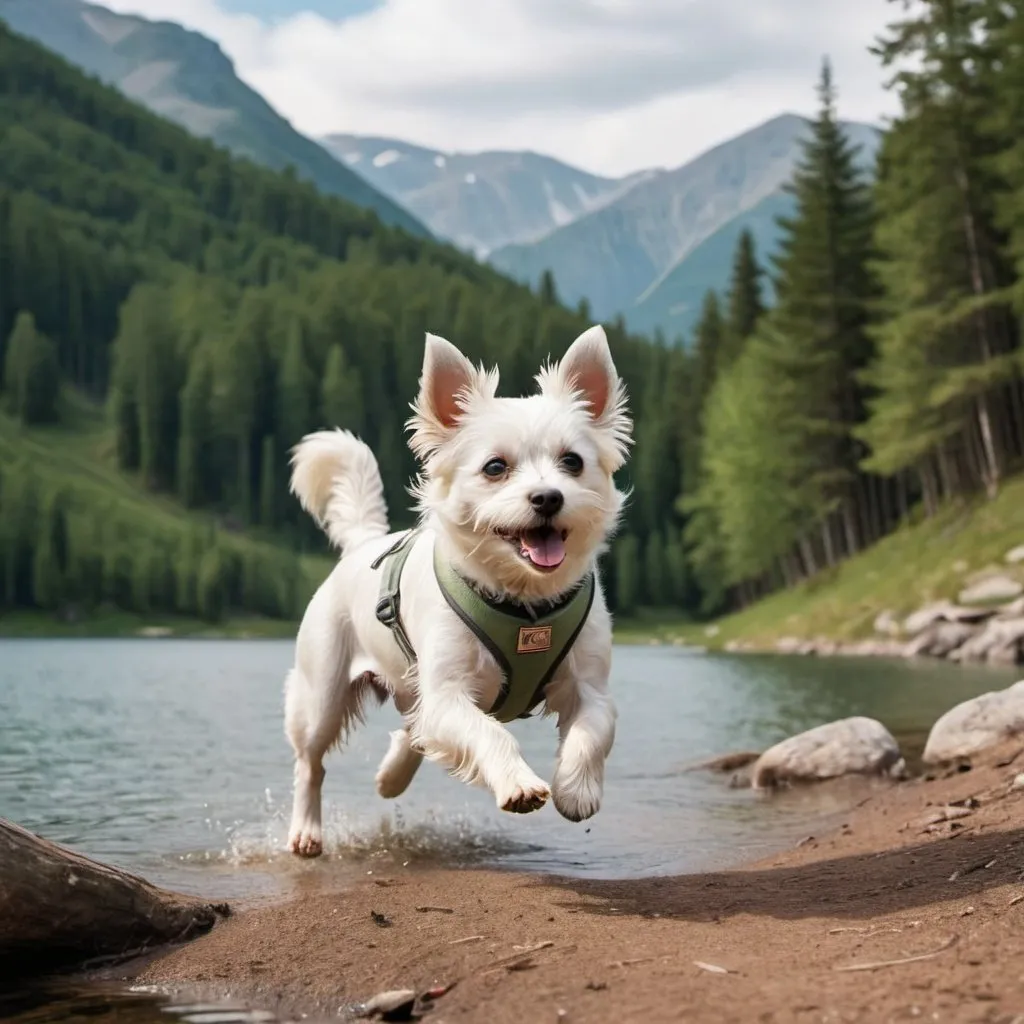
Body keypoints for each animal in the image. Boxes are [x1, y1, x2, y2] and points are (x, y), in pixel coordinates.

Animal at [282, 323, 630, 851]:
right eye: (495, 467)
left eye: (572, 462)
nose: (548, 497)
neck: (524, 602)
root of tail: (362, 544)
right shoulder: (449, 694)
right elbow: (489, 734)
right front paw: (519, 783)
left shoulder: (591, 686)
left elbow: (591, 731)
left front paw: (577, 790)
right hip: (321, 693)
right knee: (311, 764)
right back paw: (306, 830)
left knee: (414, 731)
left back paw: (391, 777)